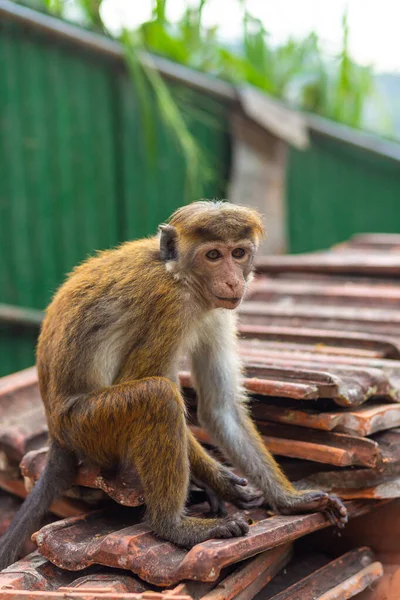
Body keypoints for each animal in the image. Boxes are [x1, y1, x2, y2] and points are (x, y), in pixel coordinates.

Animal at [0, 200, 346, 568]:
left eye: (238, 253)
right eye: (213, 255)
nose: (232, 280)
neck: (177, 274)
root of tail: (56, 434)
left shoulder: (217, 310)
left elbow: (220, 409)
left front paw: (289, 500)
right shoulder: (171, 306)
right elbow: (144, 383)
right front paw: (219, 479)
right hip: (87, 428)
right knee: (157, 396)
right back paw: (173, 527)